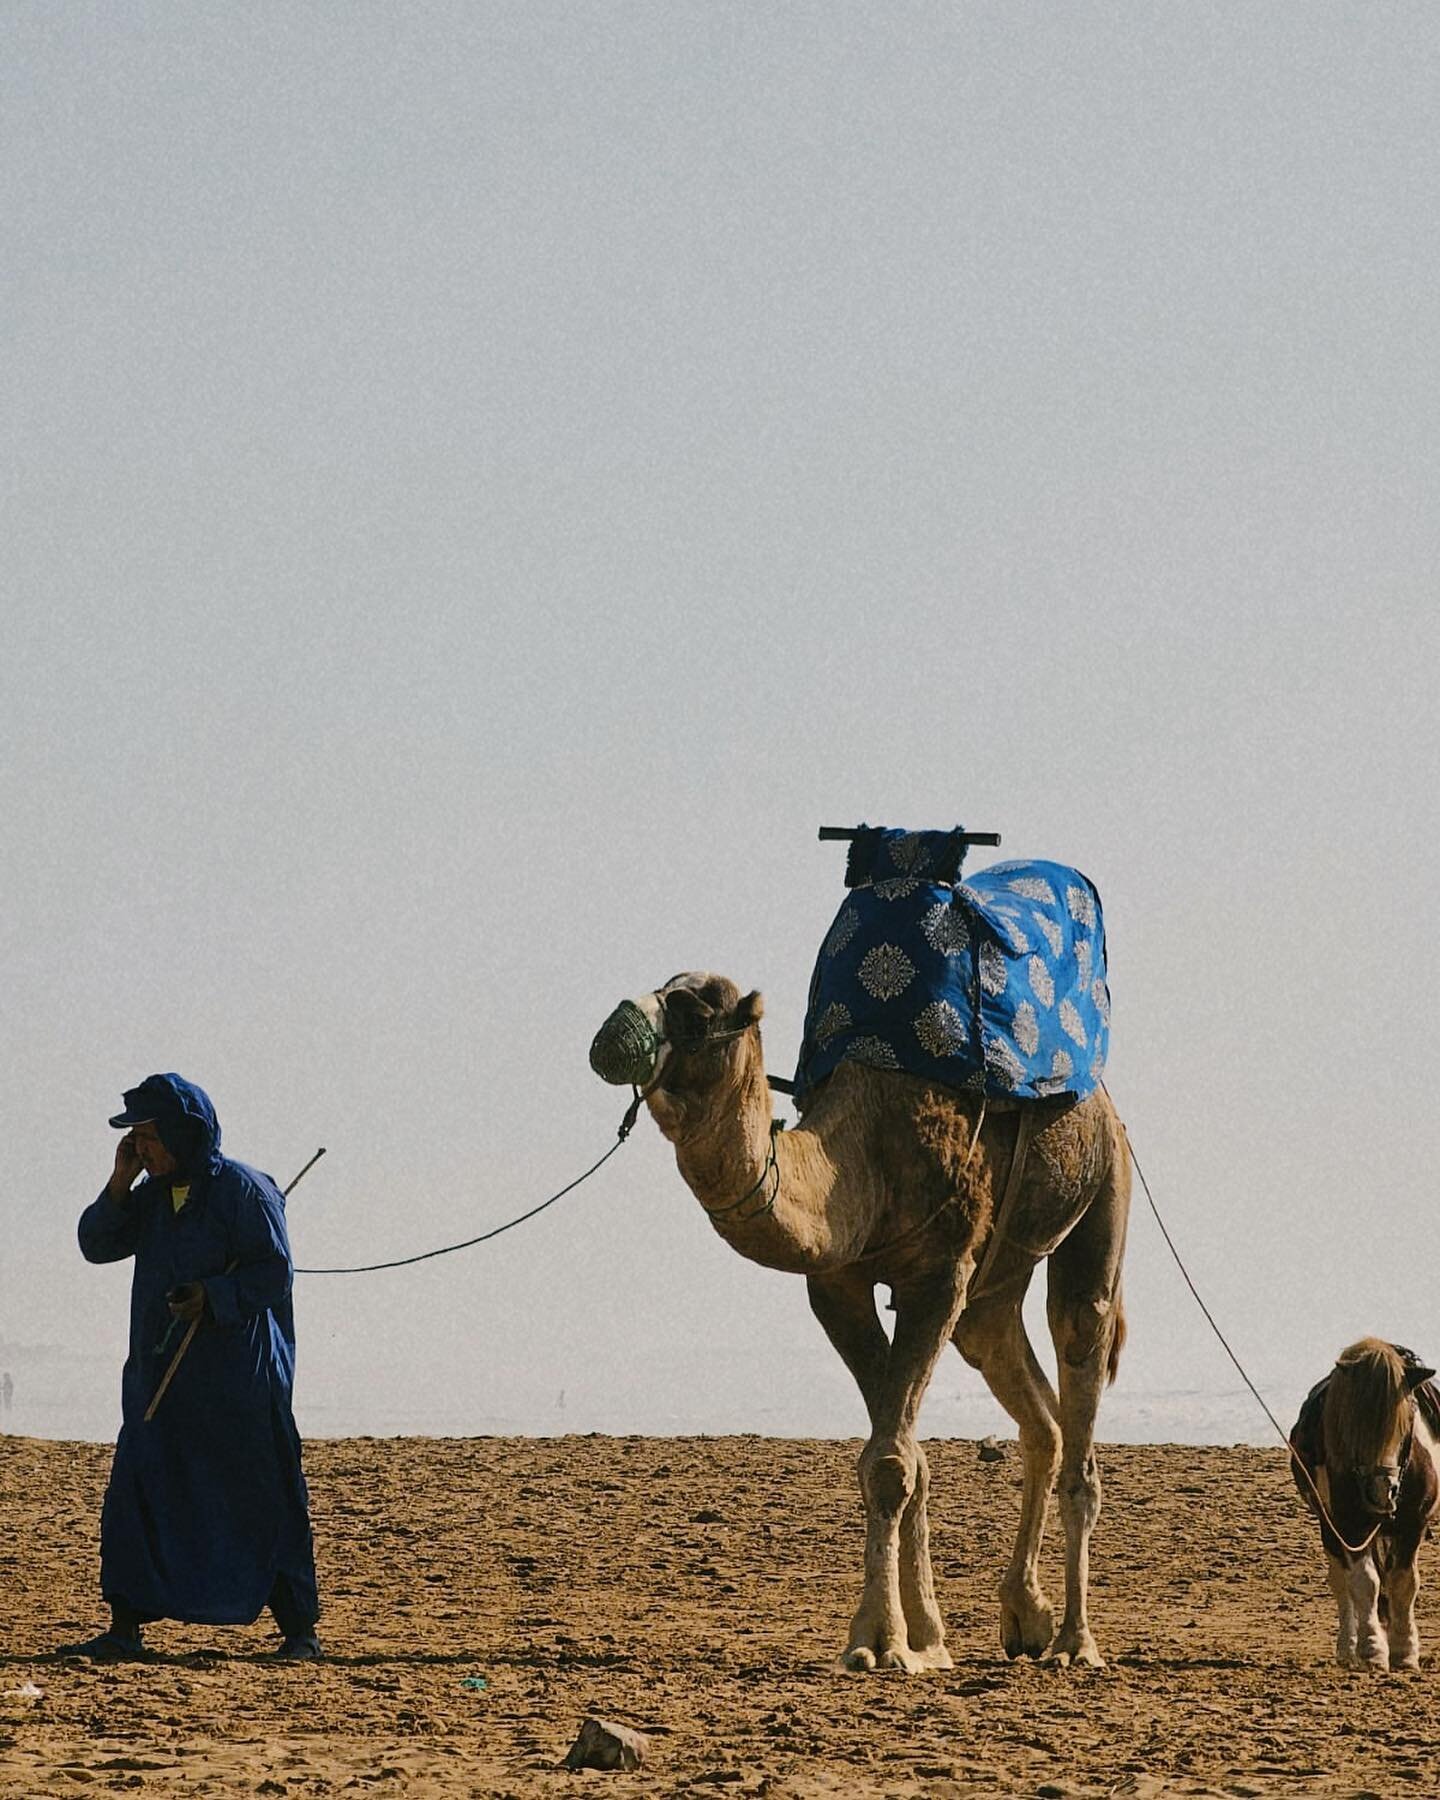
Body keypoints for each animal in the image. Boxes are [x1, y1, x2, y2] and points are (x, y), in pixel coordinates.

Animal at [590, 972, 1130, 1670]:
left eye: (695, 1009)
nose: (610, 1035)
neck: (860, 1159)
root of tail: (1107, 1110)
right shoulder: (837, 1286)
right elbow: (904, 1458)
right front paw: (926, 1639)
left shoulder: (940, 1275)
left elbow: (892, 1462)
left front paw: (882, 1644)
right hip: (990, 1298)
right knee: (1037, 1413)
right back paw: (1025, 1617)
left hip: (1103, 1189)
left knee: (1081, 1335)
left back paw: (1074, 1642)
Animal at [1296, 1339, 1440, 1670]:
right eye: (1353, 1426)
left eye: (1406, 1422)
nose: (1381, 1491)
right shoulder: (1351, 1526)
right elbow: (1364, 1582)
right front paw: (1372, 1649)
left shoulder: (1413, 1525)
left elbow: (1403, 1582)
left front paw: (1405, 1652)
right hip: (1330, 1528)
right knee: (1341, 1583)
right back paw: (1347, 1648)